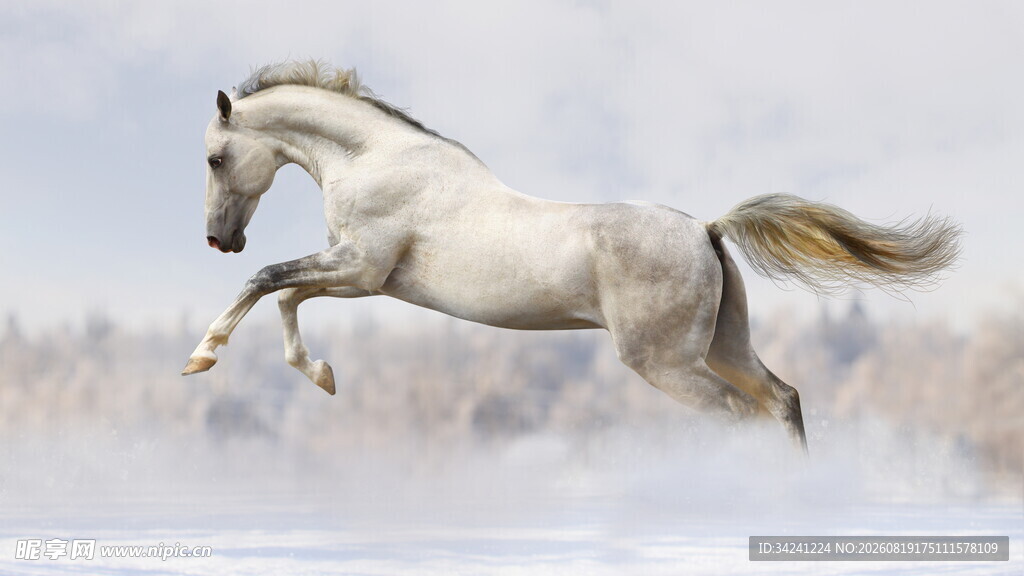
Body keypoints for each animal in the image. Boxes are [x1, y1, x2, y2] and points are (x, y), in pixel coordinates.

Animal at [182, 61, 961, 451]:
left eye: (216, 158)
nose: (220, 239)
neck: (376, 159)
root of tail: (707, 229)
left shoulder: (361, 268)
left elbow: (267, 281)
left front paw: (201, 357)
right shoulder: (359, 275)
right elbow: (285, 294)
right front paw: (322, 377)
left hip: (665, 362)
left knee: (741, 417)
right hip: (723, 345)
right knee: (782, 401)